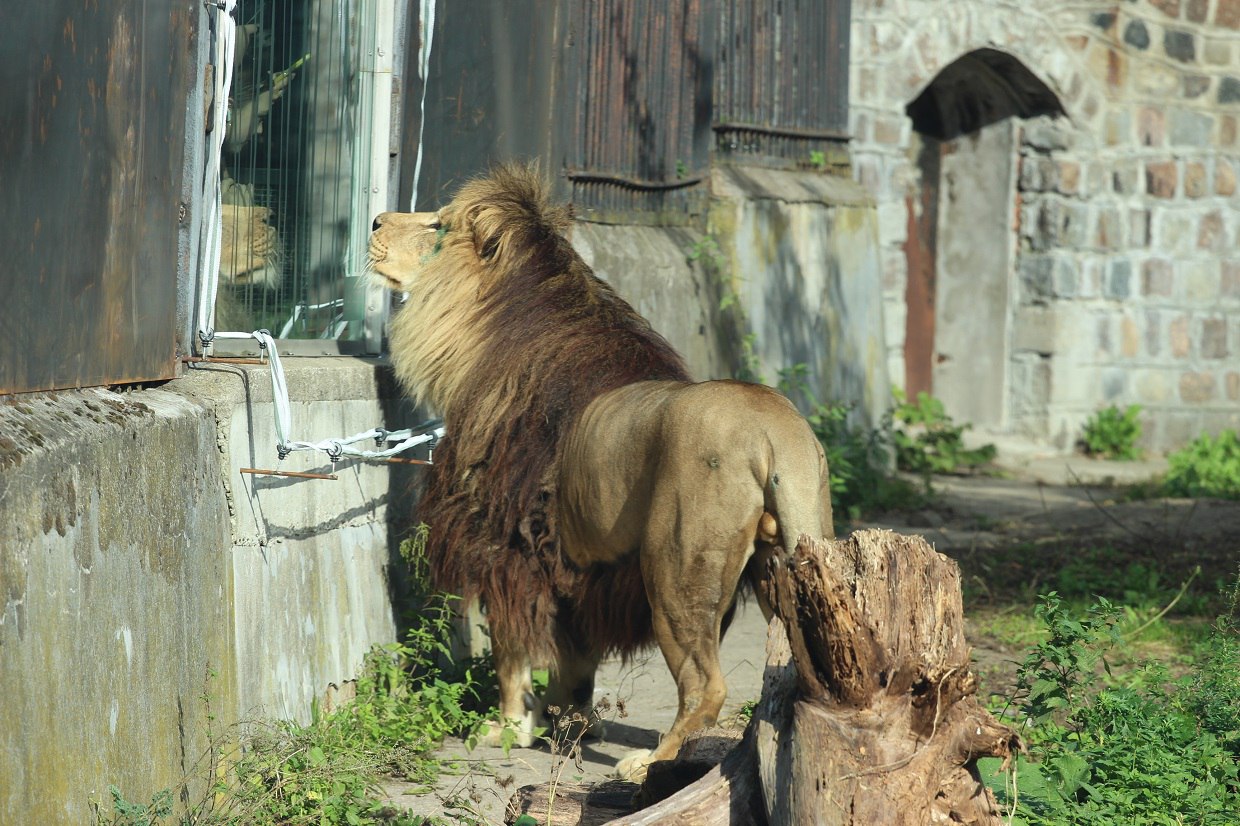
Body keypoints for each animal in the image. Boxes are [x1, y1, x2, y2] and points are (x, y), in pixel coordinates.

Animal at [367, 162, 833, 778]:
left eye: (436, 225)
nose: (375, 220)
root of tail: (776, 430)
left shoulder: (506, 547)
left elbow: (511, 653)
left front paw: (509, 728)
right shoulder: (577, 567)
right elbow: (576, 660)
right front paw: (572, 720)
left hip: (675, 570)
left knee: (704, 684)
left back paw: (649, 762)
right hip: (794, 558)